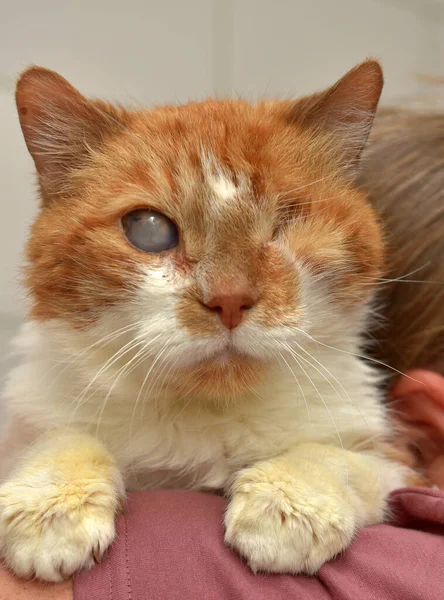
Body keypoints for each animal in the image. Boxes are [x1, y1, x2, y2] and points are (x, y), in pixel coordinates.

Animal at [0, 61, 410, 580]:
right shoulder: (29, 426)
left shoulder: (397, 461)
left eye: (286, 222)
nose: (230, 300)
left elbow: (335, 456)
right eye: (148, 229)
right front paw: (50, 506)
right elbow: (61, 438)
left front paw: (289, 504)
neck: (205, 414)